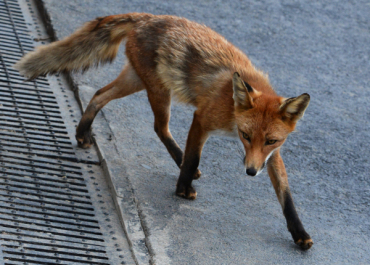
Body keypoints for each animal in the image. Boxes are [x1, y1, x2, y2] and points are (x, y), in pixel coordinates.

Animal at [15, 11, 314, 248]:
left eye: (271, 140)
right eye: (246, 135)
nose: (251, 172)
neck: (231, 107)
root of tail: (147, 17)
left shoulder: (271, 154)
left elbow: (286, 194)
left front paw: (299, 233)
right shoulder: (202, 119)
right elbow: (193, 155)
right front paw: (183, 189)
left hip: (137, 80)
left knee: (100, 95)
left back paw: (82, 132)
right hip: (158, 90)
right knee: (158, 127)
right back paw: (180, 164)